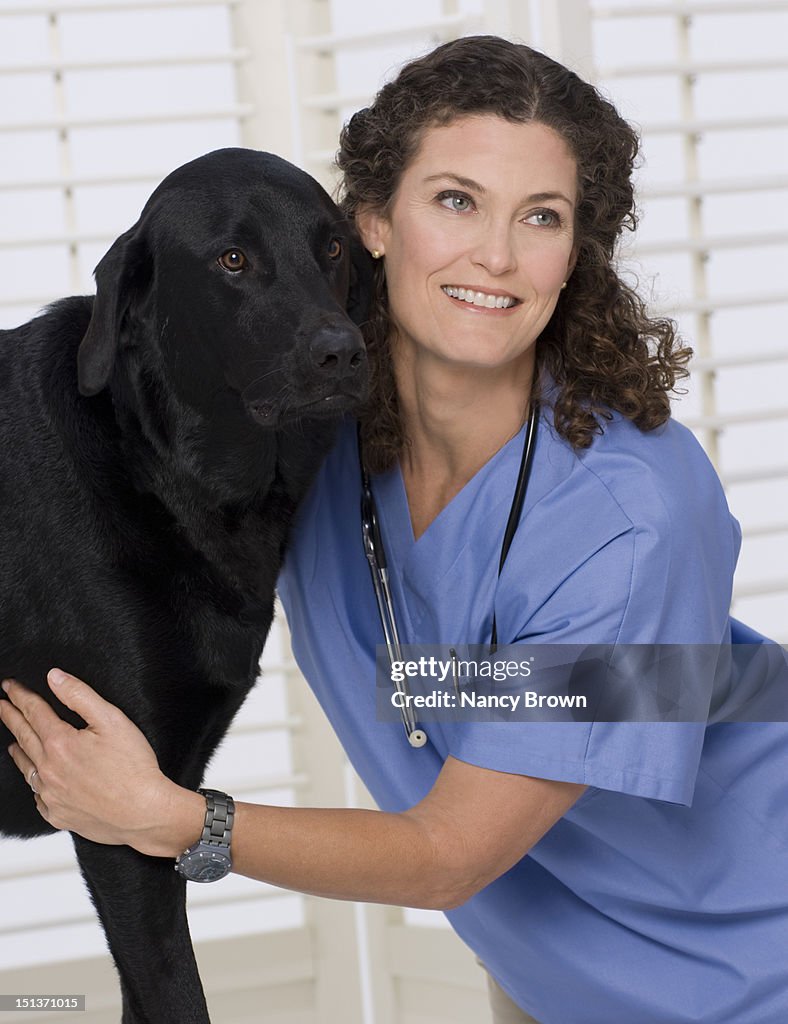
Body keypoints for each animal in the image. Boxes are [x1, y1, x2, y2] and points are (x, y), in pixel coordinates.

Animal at [0, 148, 370, 1019]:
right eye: (232, 260)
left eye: (333, 248)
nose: (343, 352)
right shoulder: (113, 820)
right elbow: (177, 993)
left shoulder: (154, 798)